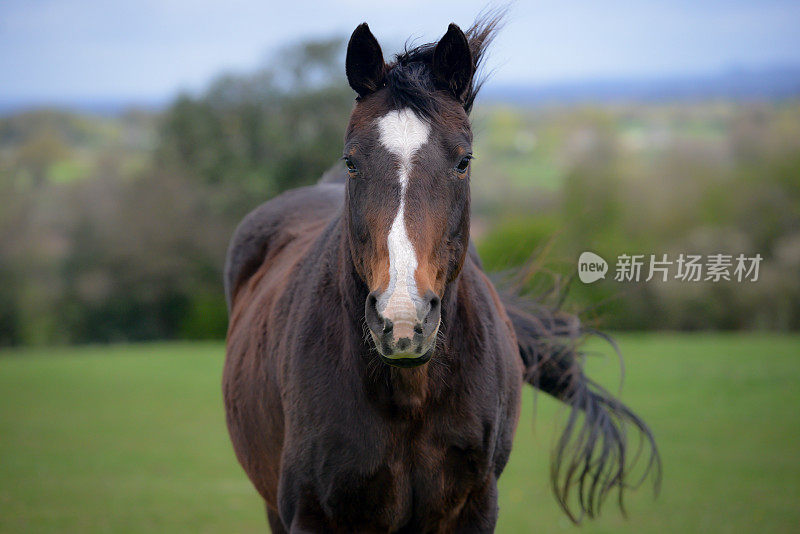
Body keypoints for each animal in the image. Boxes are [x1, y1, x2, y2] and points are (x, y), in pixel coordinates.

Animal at [222, 14, 660, 532]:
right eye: (351, 161)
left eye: (463, 161)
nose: (402, 320)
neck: (411, 399)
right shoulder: (310, 514)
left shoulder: (475, 508)